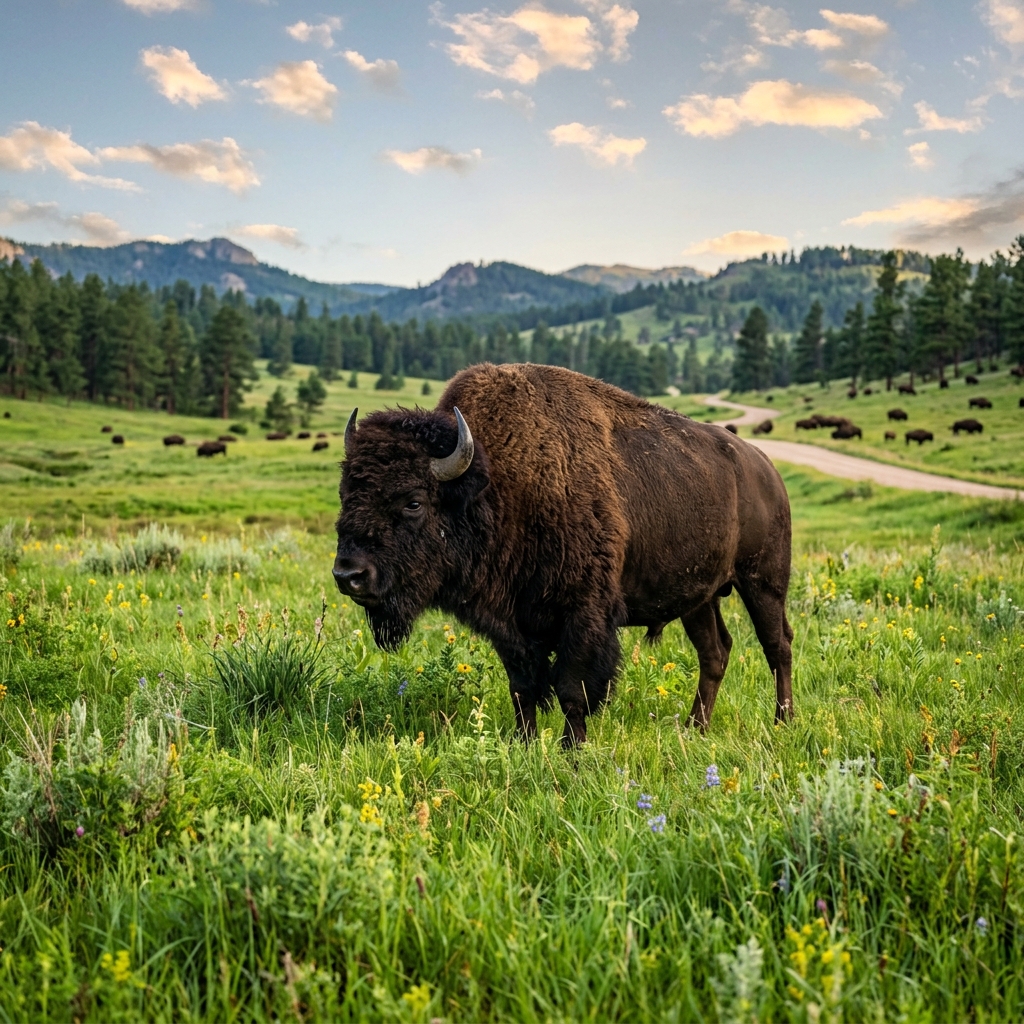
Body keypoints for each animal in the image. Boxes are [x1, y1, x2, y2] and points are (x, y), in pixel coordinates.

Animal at [334, 364, 795, 746]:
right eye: (346, 494)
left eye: (413, 502)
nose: (348, 575)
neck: (497, 485)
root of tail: (765, 468)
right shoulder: (511, 625)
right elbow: (522, 688)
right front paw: (523, 745)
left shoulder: (584, 615)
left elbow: (573, 690)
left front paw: (572, 751)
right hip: (699, 598)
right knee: (715, 652)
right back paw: (696, 728)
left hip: (763, 583)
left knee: (778, 646)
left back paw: (783, 723)